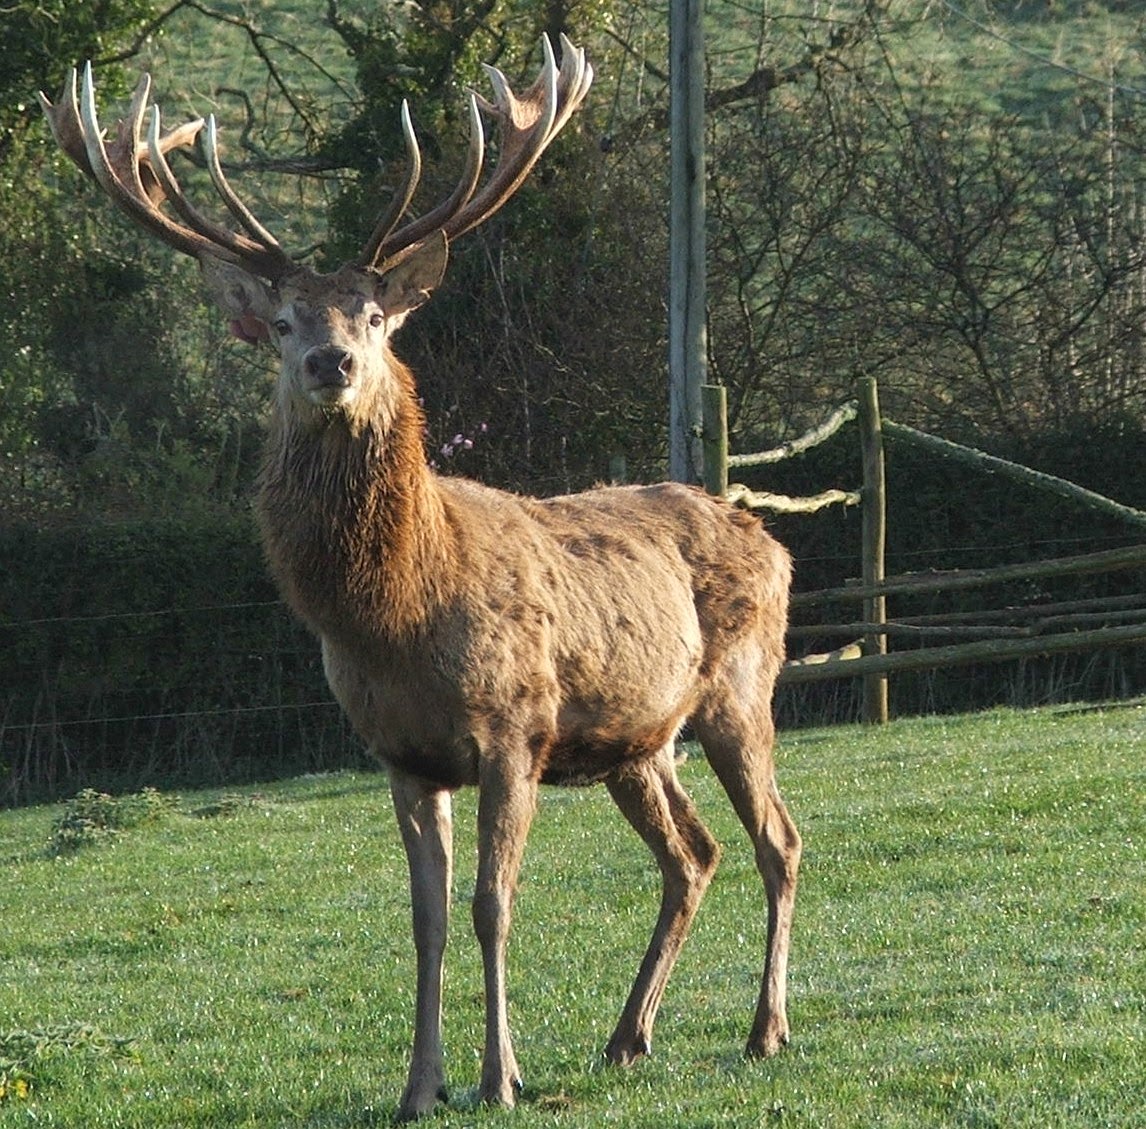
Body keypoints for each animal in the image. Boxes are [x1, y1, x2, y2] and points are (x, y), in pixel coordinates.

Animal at [40, 36, 801, 1120]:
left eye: (371, 314)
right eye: (281, 321)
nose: (331, 361)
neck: (395, 616)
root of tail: (769, 536)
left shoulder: (513, 730)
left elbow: (492, 904)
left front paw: (498, 1077)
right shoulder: (401, 753)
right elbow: (426, 918)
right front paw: (419, 1085)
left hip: (742, 687)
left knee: (778, 839)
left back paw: (764, 1028)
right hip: (636, 738)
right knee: (693, 853)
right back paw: (627, 1037)